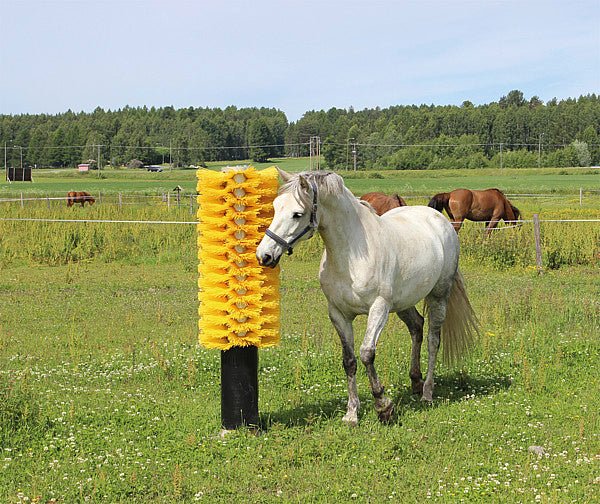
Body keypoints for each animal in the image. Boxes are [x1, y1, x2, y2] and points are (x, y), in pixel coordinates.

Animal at [255, 170, 480, 426]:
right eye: (275, 207)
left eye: (297, 214)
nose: (264, 255)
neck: (352, 255)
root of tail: (440, 221)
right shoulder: (338, 314)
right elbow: (349, 361)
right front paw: (352, 413)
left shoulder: (379, 309)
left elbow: (366, 354)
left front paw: (383, 407)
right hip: (403, 302)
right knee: (417, 327)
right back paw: (415, 381)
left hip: (438, 296)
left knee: (433, 340)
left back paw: (427, 393)